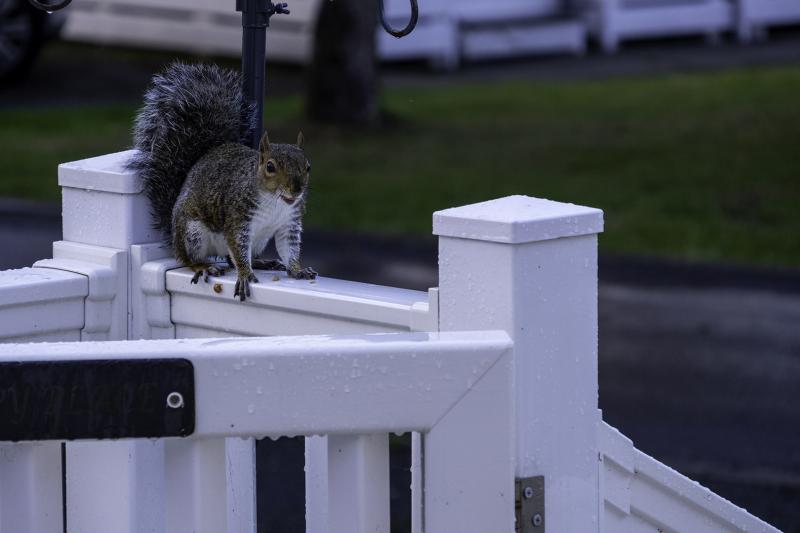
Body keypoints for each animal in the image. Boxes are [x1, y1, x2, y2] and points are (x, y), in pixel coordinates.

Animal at [127, 62, 317, 302]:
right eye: (270, 167)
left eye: (308, 167)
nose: (297, 189)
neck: (276, 203)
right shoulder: (238, 218)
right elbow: (238, 249)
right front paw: (245, 274)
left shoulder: (289, 223)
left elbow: (288, 248)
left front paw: (297, 270)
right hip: (192, 233)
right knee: (190, 259)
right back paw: (203, 266)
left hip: (258, 240)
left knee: (229, 258)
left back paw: (261, 262)